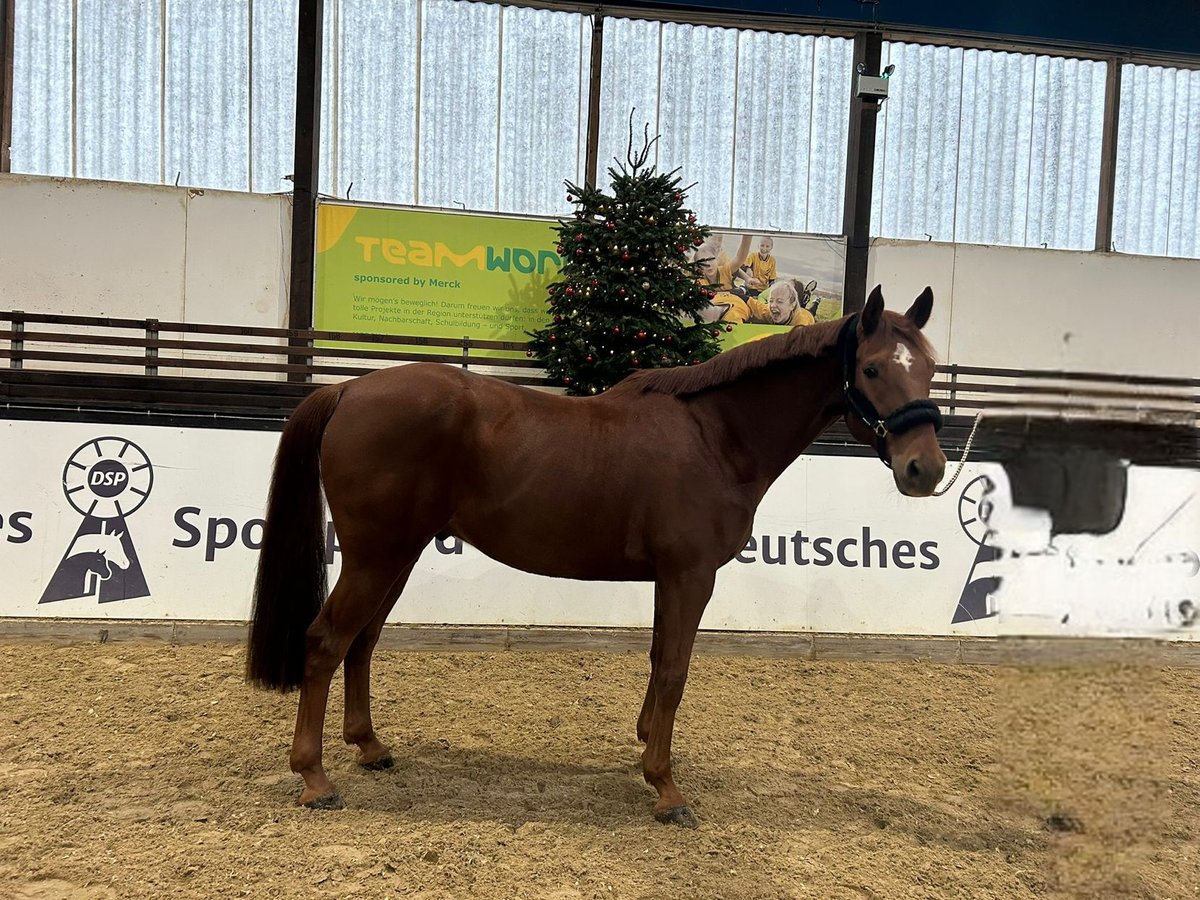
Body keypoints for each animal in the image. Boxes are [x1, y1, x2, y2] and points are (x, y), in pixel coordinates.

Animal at [246, 285, 945, 830]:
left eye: (931, 369)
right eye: (874, 370)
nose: (926, 469)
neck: (715, 436)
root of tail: (350, 389)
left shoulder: (672, 578)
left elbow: (660, 660)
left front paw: (646, 755)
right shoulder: (690, 575)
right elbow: (674, 671)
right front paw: (666, 789)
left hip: (397, 555)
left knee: (361, 642)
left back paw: (370, 747)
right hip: (376, 555)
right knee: (325, 641)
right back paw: (315, 779)